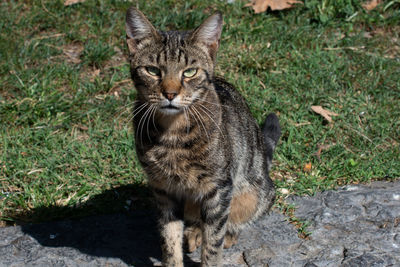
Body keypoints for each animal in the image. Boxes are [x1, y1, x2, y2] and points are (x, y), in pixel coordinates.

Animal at [125, 6, 282, 267]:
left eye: (189, 72)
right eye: (153, 70)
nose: (170, 93)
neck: (172, 134)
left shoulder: (219, 189)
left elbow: (213, 243)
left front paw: (213, 247)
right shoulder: (163, 189)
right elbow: (169, 240)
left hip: (253, 194)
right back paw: (194, 232)